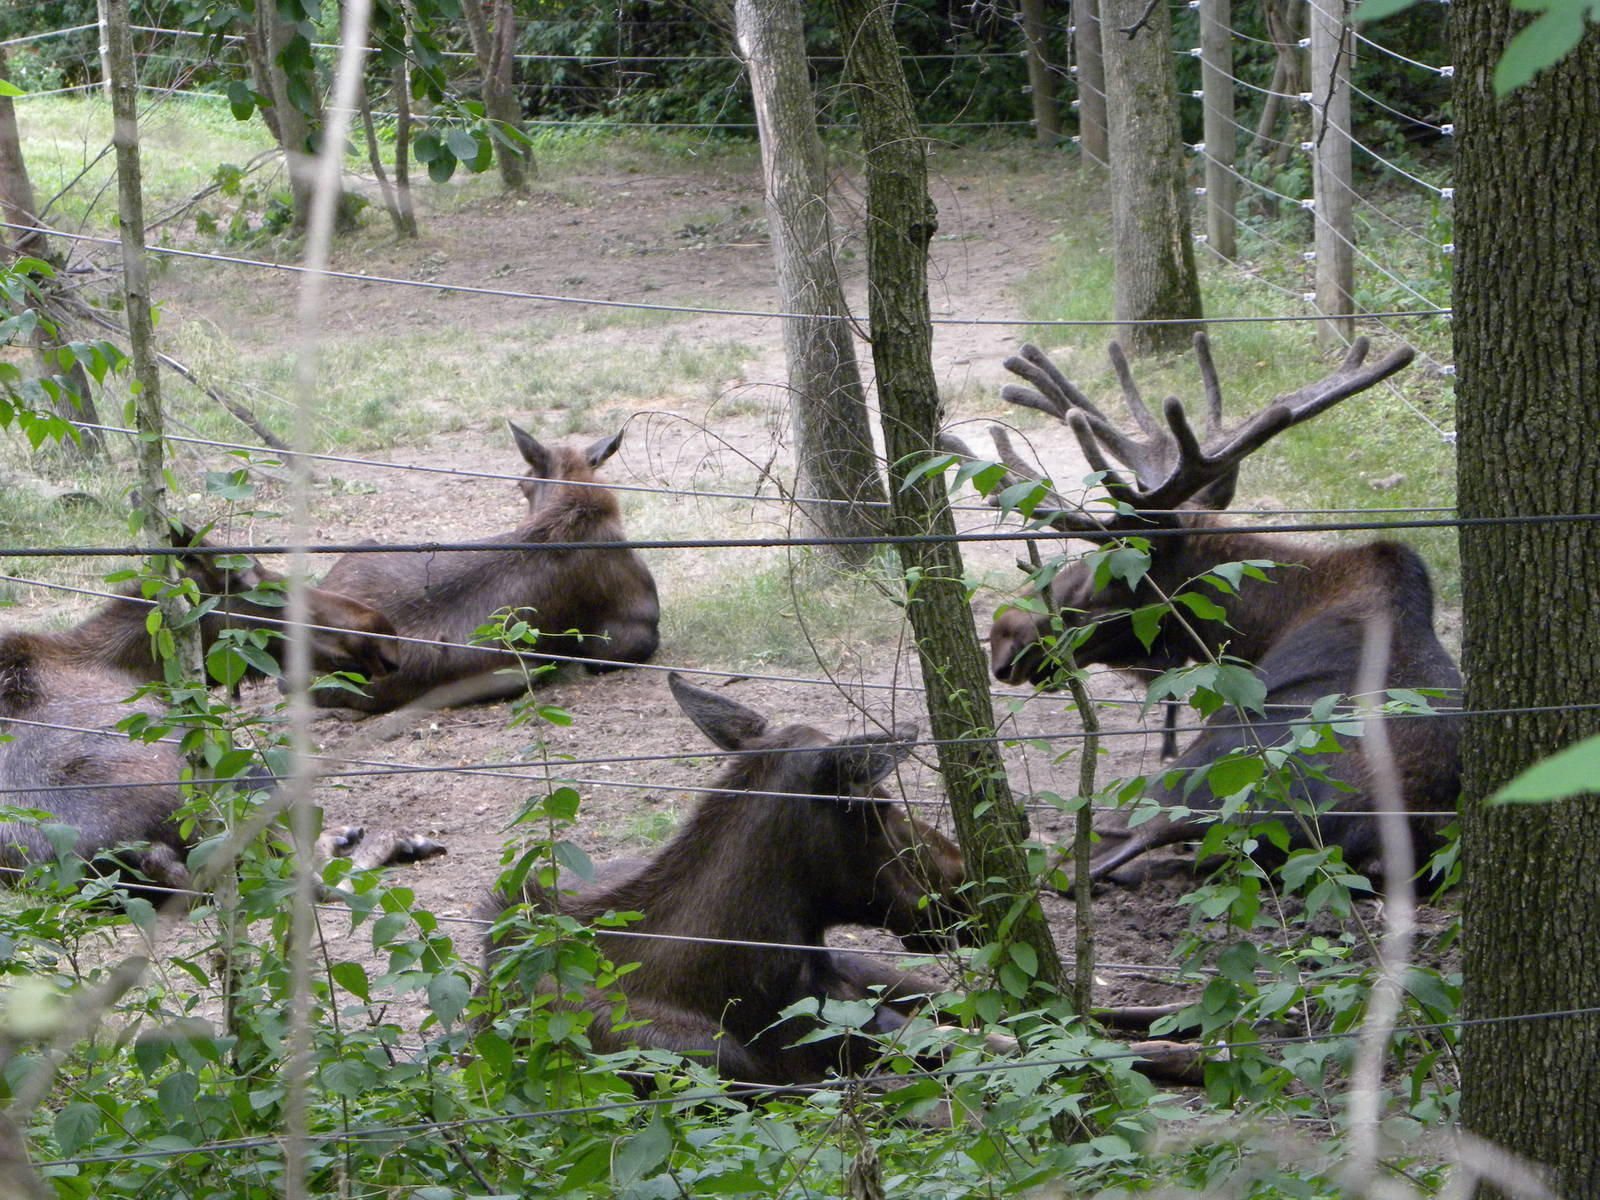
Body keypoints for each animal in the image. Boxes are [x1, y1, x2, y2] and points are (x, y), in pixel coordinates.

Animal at [0, 541, 443, 892]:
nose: (382, 635)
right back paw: (390, 839)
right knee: (313, 876)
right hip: (238, 775)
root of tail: (140, 852)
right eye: (267, 588)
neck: (140, 667)